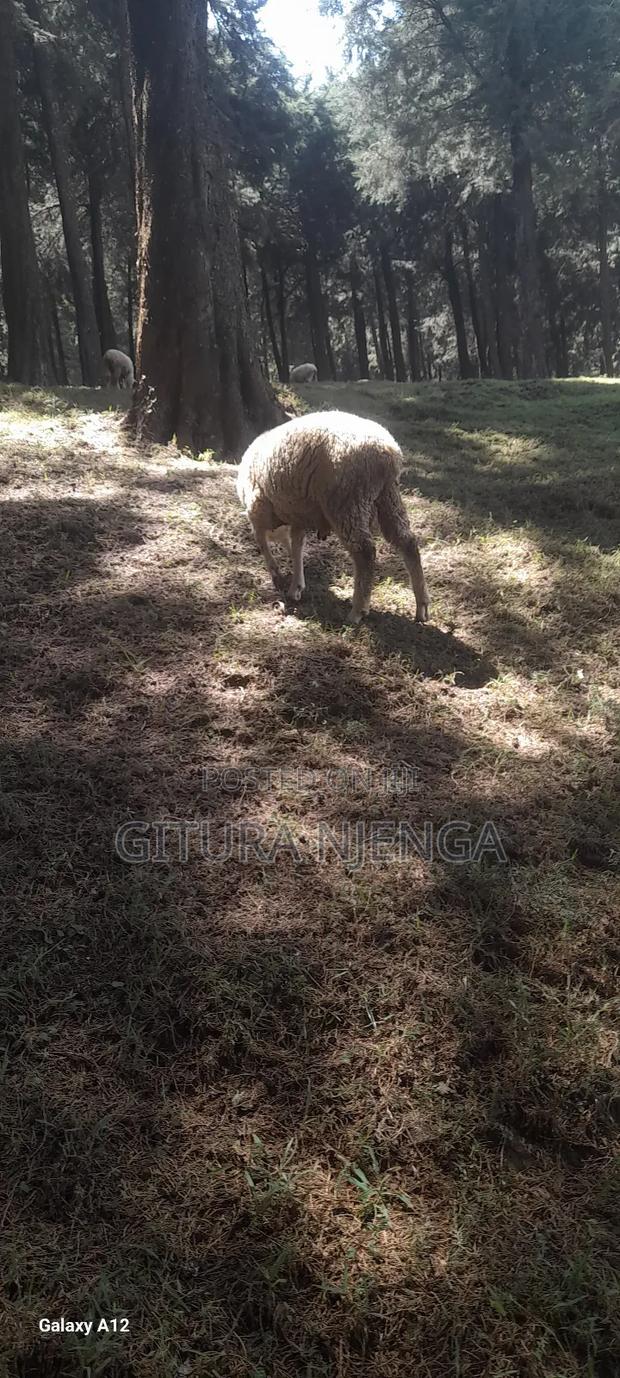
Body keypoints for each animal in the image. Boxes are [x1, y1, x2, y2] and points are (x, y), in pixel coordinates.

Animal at [237, 409, 429, 625]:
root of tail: (387, 451)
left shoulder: (258, 509)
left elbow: (263, 543)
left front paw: (277, 575)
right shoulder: (298, 516)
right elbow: (297, 547)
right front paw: (296, 585)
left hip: (346, 503)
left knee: (365, 552)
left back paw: (357, 610)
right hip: (388, 497)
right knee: (407, 542)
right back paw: (421, 606)